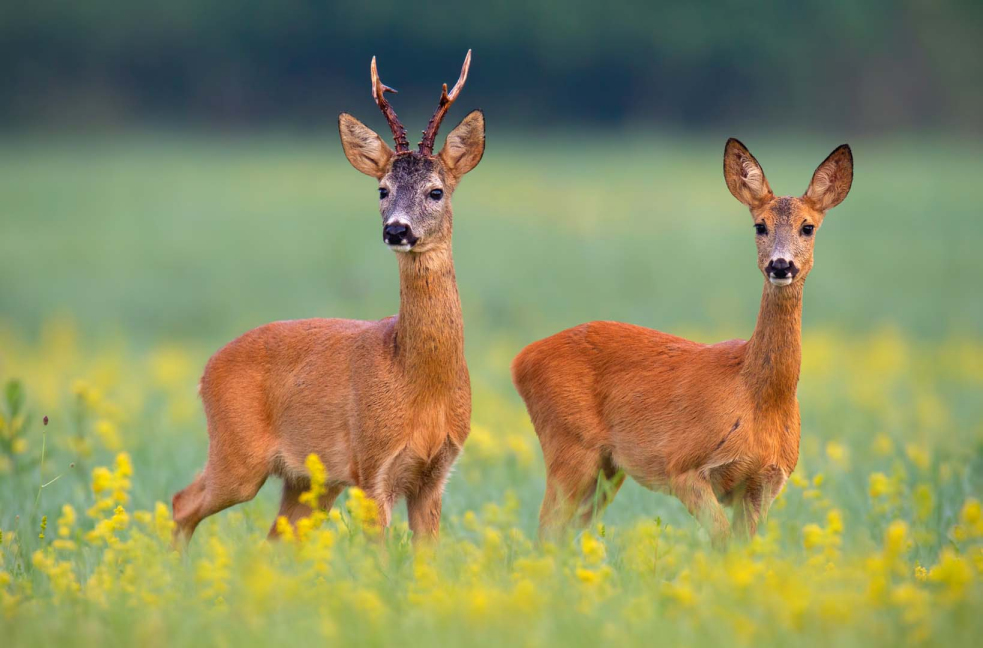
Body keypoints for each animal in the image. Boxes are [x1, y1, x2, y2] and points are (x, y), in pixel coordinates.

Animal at [176, 52, 488, 548]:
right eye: (382, 189)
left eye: (436, 191)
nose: (396, 229)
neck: (419, 383)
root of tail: (206, 370)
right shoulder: (371, 465)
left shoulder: (435, 474)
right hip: (237, 454)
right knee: (181, 503)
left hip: (307, 481)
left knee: (272, 537)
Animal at [516, 142, 852, 548]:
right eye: (760, 225)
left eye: (808, 227)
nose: (781, 265)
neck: (758, 397)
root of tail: (521, 360)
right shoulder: (683, 465)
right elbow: (721, 542)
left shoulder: (766, 481)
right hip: (569, 444)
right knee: (546, 530)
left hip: (606, 469)